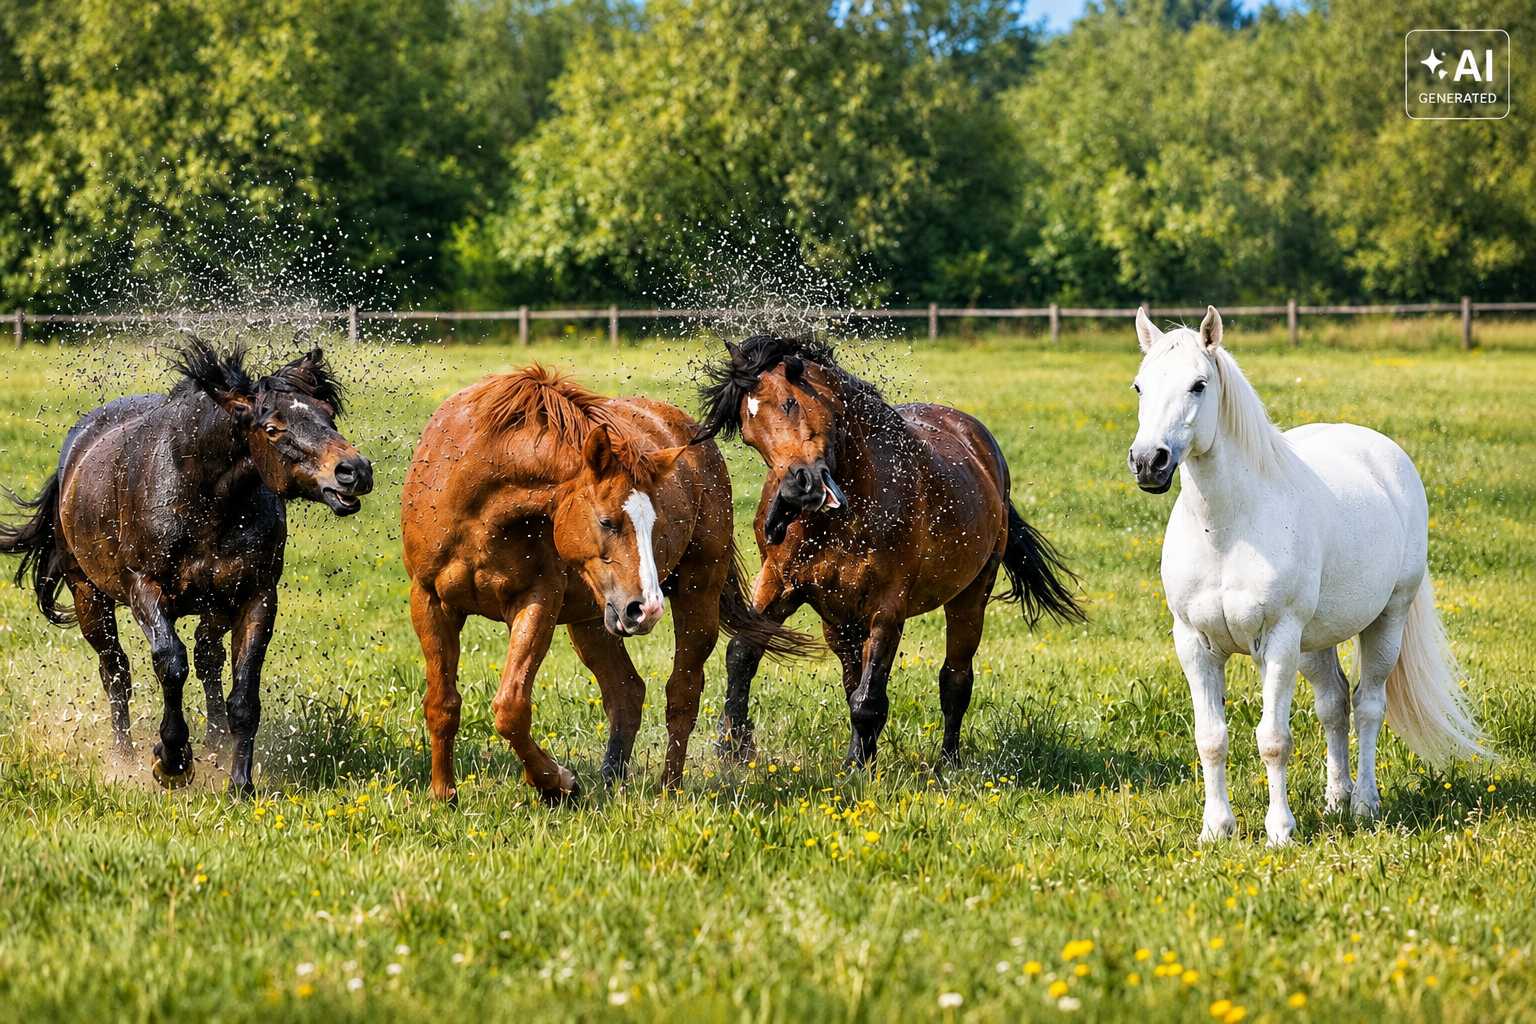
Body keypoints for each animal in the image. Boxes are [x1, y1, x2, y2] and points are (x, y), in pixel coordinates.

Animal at [0, 339, 373, 793]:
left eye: (328, 414)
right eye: (272, 428)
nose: (354, 472)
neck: (202, 498)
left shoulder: (256, 596)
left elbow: (243, 695)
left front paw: (240, 785)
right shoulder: (145, 590)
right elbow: (170, 664)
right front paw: (172, 761)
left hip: (214, 606)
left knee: (208, 659)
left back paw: (215, 744)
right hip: (88, 594)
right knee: (116, 670)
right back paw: (123, 758)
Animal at [400, 365, 809, 805]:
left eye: (655, 522)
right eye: (607, 521)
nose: (646, 608)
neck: (478, 501)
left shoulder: (536, 603)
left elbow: (511, 707)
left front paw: (556, 782)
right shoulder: (430, 601)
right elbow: (442, 703)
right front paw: (443, 793)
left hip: (696, 596)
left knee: (681, 693)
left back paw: (668, 787)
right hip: (595, 620)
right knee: (627, 692)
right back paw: (612, 780)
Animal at [694, 334, 1085, 769]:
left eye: (790, 402)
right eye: (749, 434)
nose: (800, 488)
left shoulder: (887, 605)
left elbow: (869, 699)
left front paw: (855, 768)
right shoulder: (779, 584)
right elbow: (742, 655)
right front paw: (732, 749)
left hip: (969, 596)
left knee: (955, 679)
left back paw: (947, 764)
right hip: (839, 621)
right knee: (854, 675)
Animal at [1128, 306, 1488, 845]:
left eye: (1198, 385)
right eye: (1139, 386)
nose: (1149, 462)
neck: (1228, 529)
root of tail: (1385, 455)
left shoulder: (1277, 640)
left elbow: (1274, 739)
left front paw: (1280, 831)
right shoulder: (1194, 643)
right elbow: (1211, 738)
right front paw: (1217, 829)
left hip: (1385, 620)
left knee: (1368, 705)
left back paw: (1364, 805)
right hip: (1315, 642)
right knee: (1334, 704)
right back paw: (1336, 799)